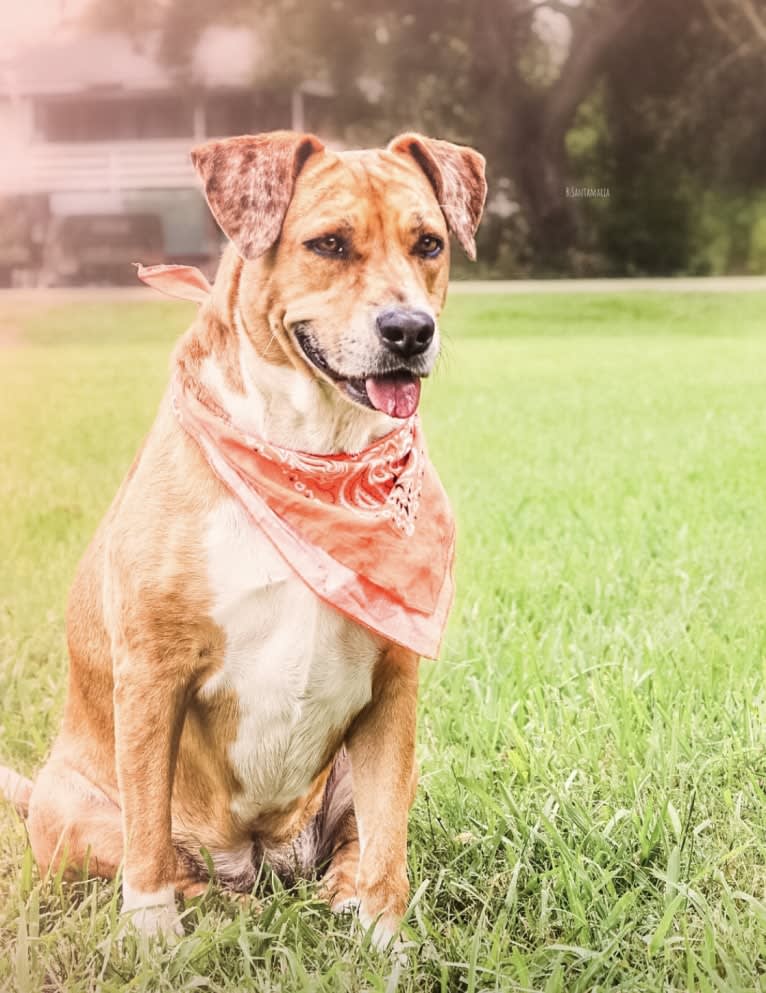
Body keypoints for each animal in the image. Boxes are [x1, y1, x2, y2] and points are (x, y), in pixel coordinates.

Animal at [0, 130, 488, 944]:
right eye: (328, 243)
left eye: (429, 243)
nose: (410, 330)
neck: (311, 453)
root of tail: (258, 855)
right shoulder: (152, 673)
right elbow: (148, 844)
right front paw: (154, 940)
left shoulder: (394, 686)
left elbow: (388, 841)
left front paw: (386, 939)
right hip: (75, 802)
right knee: (178, 866)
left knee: (355, 841)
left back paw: (338, 894)